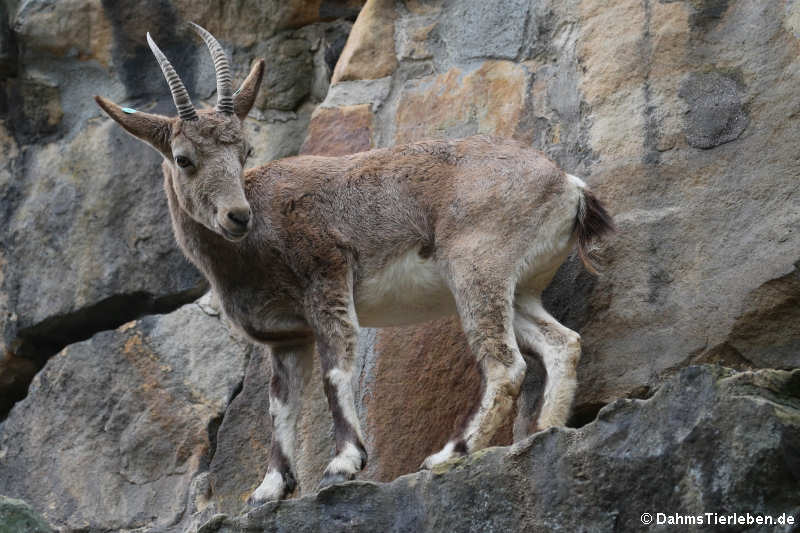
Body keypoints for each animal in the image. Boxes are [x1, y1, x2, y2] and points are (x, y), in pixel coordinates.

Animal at [94, 24, 614, 505]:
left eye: (244, 151)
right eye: (184, 158)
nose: (237, 215)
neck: (255, 243)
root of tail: (569, 187)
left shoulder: (327, 277)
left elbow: (337, 369)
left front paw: (342, 465)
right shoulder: (286, 337)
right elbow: (280, 406)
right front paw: (267, 490)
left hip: (475, 269)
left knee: (507, 366)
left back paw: (450, 454)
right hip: (517, 288)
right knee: (562, 344)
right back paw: (545, 432)